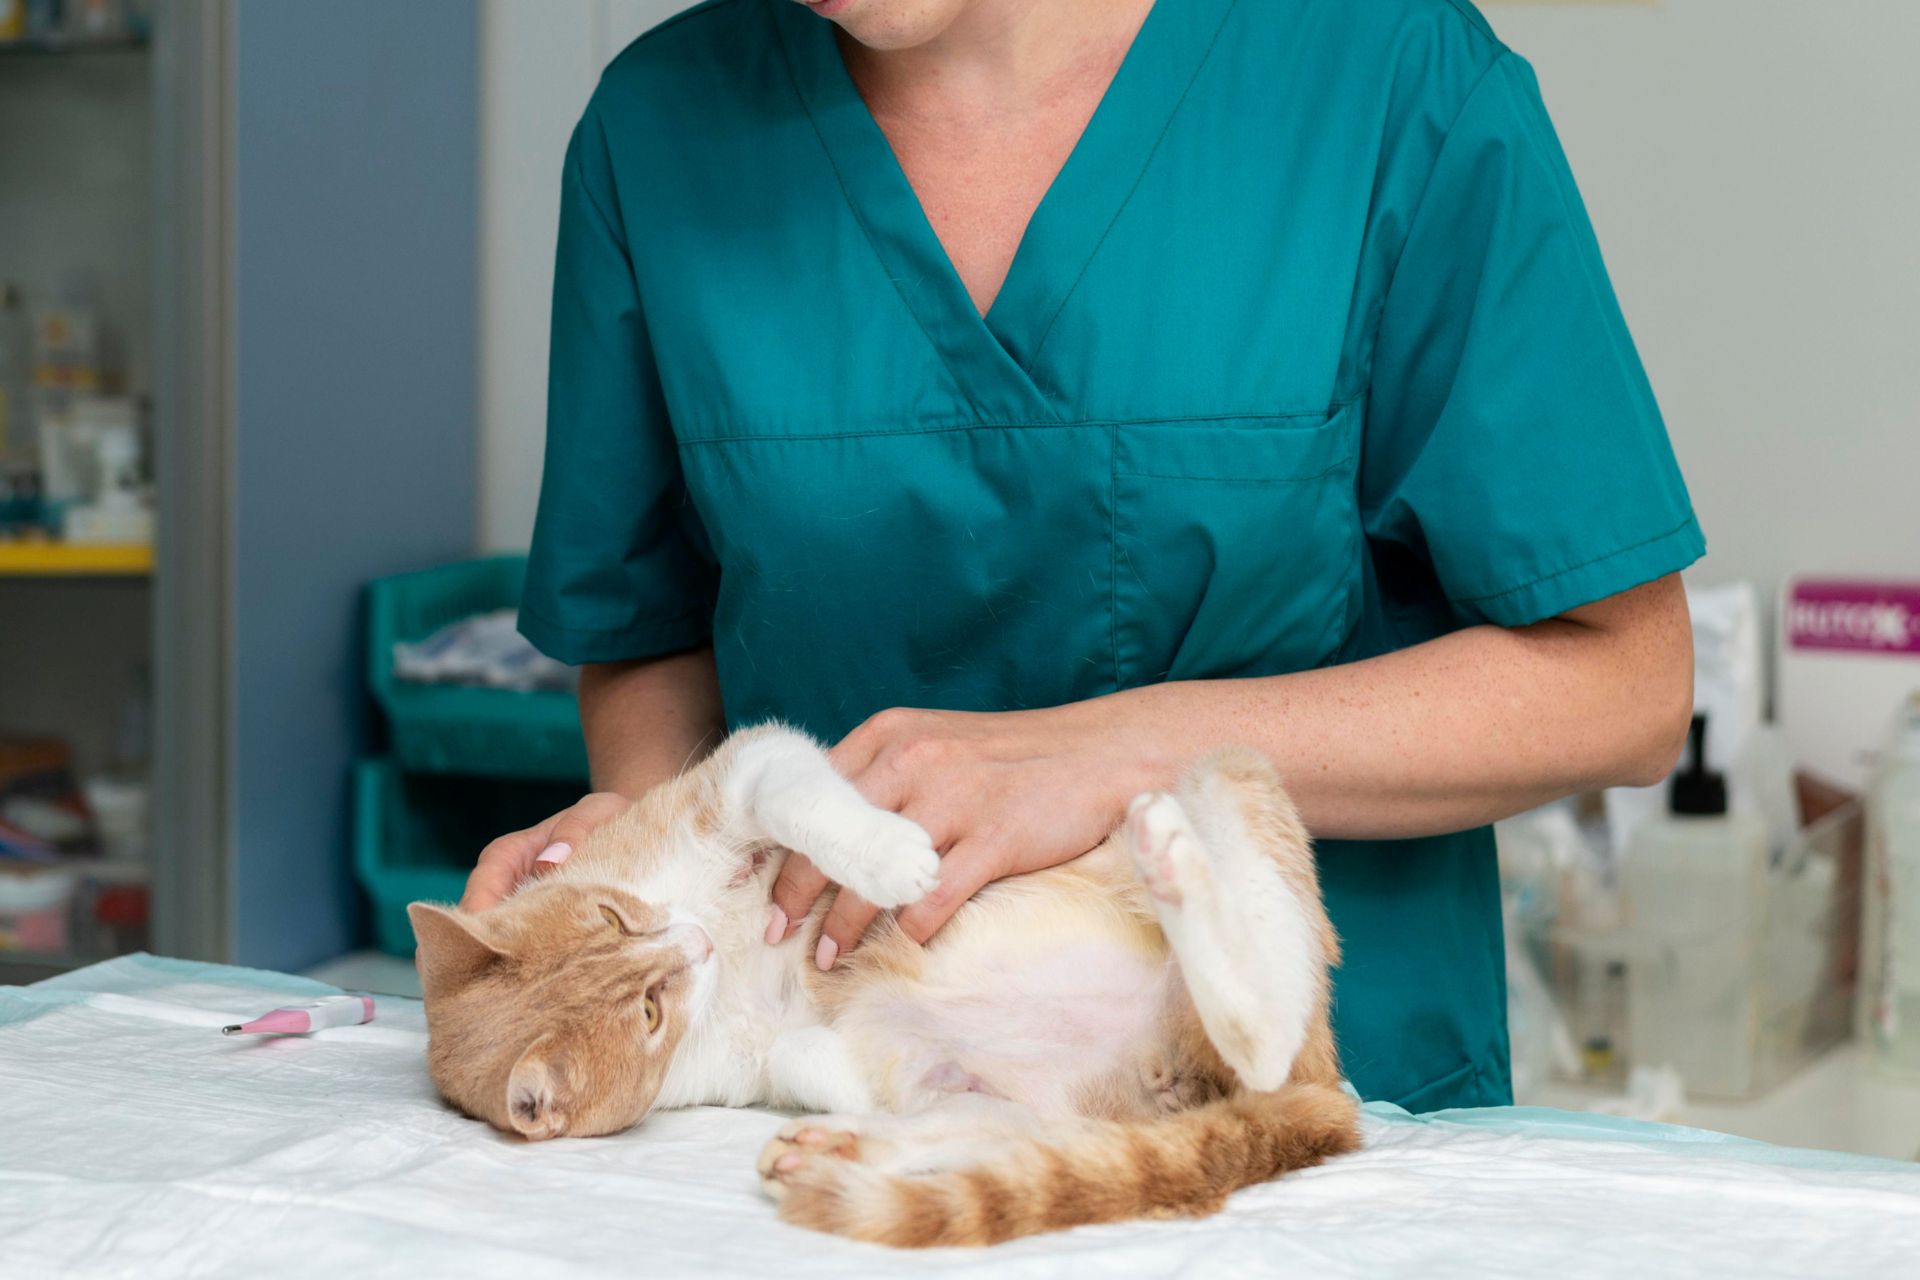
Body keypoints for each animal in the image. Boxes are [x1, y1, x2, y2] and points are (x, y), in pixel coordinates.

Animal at [412, 725, 1359, 1243]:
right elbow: (798, 1054)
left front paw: (892, 856)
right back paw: (840, 1149)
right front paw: (838, 1077)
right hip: (1048, 1118)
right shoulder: (744, 1060)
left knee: (1266, 1028)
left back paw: (1172, 856)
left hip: (1230, 771)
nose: (691, 942)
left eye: (613, 917)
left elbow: (799, 800)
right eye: (650, 1009)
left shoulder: (748, 769)